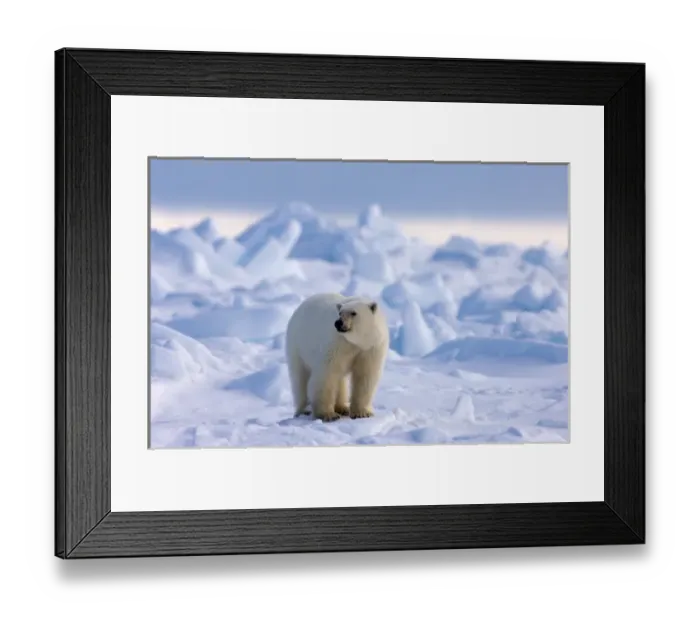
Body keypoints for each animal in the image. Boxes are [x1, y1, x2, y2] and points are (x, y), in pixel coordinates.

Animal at [285, 292, 389, 423]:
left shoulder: (371, 348)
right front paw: (328, 415)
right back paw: (304, 410)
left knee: (340, 380)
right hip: (298, 346)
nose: (338, 323)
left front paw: (362, 413)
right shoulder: (337, 344)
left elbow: (365, 376)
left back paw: (343, 408)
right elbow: (327, 375)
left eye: (354, 313)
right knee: (300, 378)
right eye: (340, 313)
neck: (357, 342)